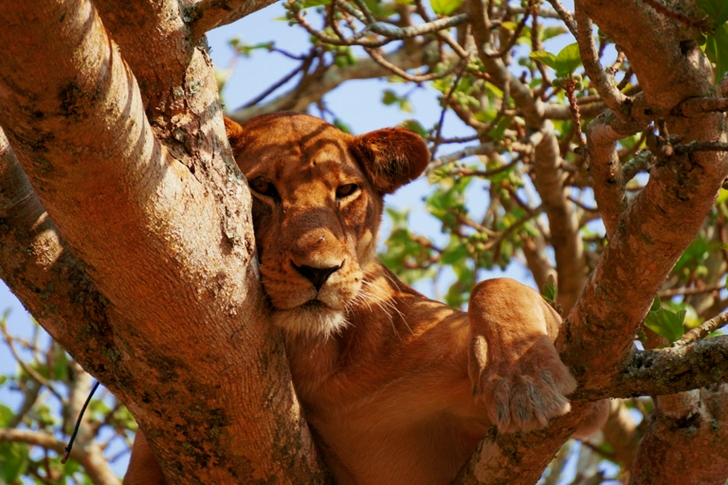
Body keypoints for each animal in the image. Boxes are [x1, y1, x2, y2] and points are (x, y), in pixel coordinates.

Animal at [124, 113, 605, 485]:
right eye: (261, 186)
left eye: (345, 191)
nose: (319, 270)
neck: (317, 360)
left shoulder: (582, 404)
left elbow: (497, 286)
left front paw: (523, 379)